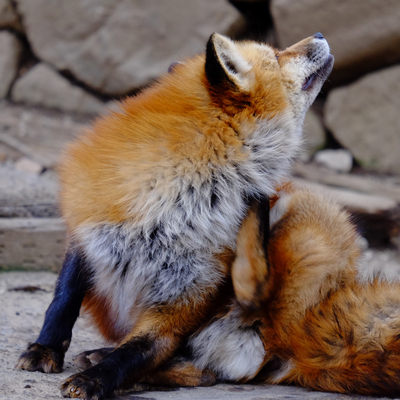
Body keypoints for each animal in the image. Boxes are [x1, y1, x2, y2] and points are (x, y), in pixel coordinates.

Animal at [16, 32, 334, 400]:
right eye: (277, 55)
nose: (320, 35)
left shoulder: (187, 290)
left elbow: (135, 352)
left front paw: (97, 379)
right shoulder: (90, 229)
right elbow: (62, 300)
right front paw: (45, 349)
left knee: (208, 369)